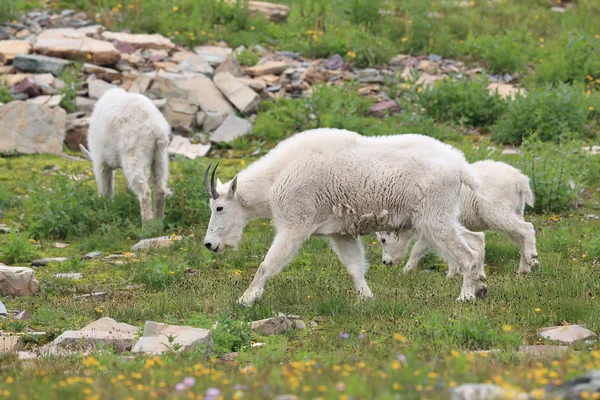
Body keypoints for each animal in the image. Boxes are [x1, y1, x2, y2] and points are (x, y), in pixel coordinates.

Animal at [79, 87, 171, 222]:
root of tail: (156, 129)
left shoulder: (100, 159)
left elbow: (105, 184)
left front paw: (104, 205)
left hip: (133, 153)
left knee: (144, 191)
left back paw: (147, 224)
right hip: (160, 155)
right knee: (160, 188)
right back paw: (158, 222)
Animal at [204, 128, 490, 306]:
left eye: (219, 208)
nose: (209, 244)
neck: (276, 177)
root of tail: (460, 167)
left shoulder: (295, 224)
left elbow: (267, 264)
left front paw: (245, 299)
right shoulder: (339, 233)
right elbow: (355, 267)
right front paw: (366, 298)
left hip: (433, 217)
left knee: (466, 255)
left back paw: (465, 297)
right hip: (441, 215)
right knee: (475, 240)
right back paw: (481, 286)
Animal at [376, 159, 540, 276]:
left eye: (383, 240)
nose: (385, 262)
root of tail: (520, 180)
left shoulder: (432, 227)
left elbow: (417, 249)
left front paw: (404, 272)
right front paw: (452, 273)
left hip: (497, 212)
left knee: (527, 228)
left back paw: (531, 256)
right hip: (515, 211)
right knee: (520, 238)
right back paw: (524, 268)